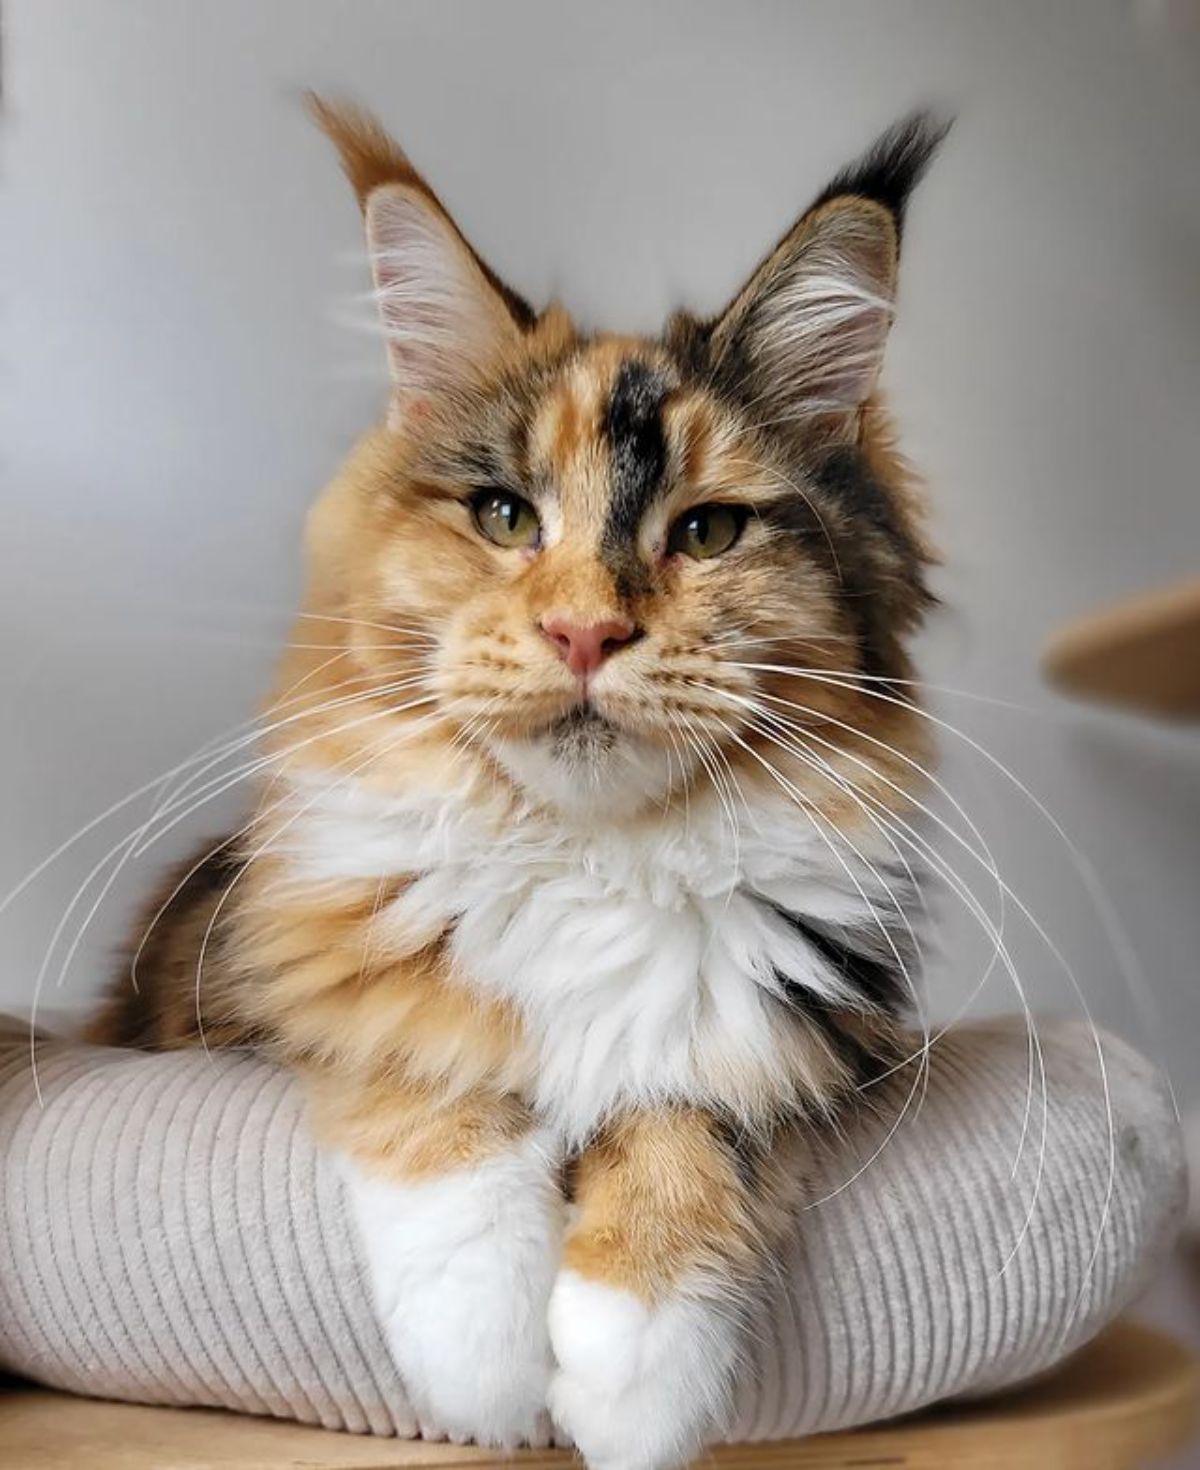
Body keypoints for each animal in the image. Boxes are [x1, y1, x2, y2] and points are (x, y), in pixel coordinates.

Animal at [91, 100, 947, 1470]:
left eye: (707, 532)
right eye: (502, 517)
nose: (585, 633)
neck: (588, 856)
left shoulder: (803, 1036)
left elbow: (686, 1118)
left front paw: (627, 1373)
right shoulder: (295, 983)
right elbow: (435, 1078)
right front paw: (488, 1373)